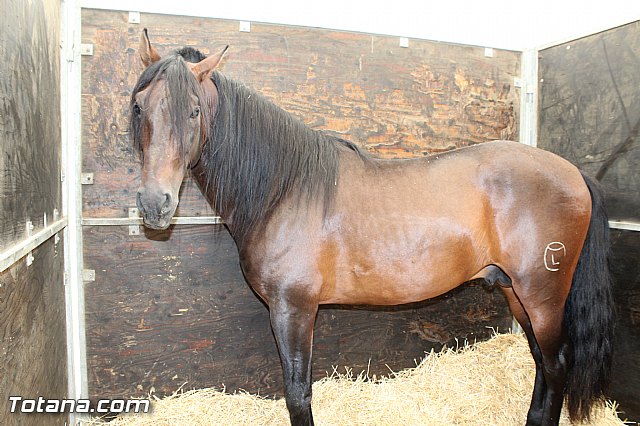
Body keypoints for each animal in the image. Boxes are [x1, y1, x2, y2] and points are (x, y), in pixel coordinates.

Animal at [131, 29, 614, 426]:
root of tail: (572, 172)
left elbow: (298, 394)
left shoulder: (293, 309)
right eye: (139, 107)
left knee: (556, 363)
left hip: (542, 295)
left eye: (194, 111)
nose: (155, 203)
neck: (285, 188)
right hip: (517, 293)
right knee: (542, 363)